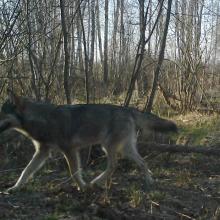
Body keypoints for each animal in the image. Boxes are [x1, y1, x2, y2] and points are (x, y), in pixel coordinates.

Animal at [0, 91, 177, 192]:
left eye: (2, 114)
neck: (42, 120)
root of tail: (127, 109)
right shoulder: (42, 152)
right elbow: (25, 171)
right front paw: (15, 187)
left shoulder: (70, 151)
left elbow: (74, 172)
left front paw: (82, 187)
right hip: (124, 149)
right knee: (142, 162)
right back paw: (149, 181)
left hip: (109, 147)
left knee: (114, 165)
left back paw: (96, 182)